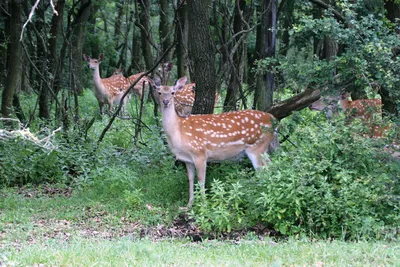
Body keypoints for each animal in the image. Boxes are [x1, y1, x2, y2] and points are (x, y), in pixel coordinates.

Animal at [152, 77, 280, 209]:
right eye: (159, 92)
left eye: (173, 92)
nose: (166, 101)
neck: (179, 132)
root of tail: (274, 120)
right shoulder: (187, 159)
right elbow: (191, 179)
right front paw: (188, 205)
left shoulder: (200, 153)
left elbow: (201, 179)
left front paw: (204, 205)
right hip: (263, 149)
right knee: (271, 165)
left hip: (256, 147)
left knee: (263, 170)